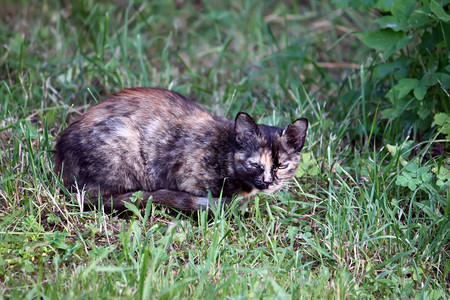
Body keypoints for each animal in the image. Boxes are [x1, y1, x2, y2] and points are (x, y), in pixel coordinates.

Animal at [52, 88, 308, 212]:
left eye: (282, 166)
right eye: (255, 164)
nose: (269, 182)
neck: (225, 151)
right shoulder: (189, 179)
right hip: (124, 136)